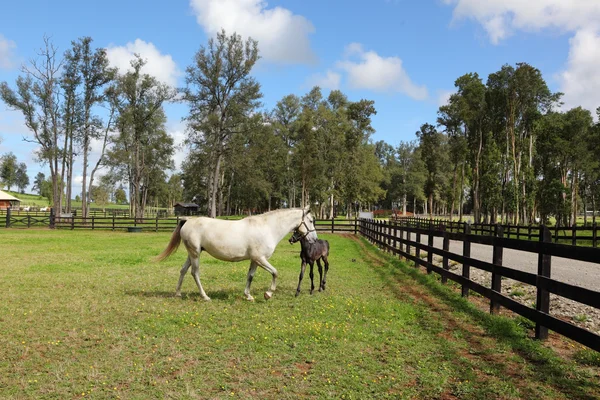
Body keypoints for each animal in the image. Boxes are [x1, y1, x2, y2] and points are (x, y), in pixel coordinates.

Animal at [156, 208, 318, 302]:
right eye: (310, 220)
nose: (314, 239)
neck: (267, 228)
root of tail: (188, 221)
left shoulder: (255, 260)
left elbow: (250, 276)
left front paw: (248, 295)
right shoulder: (260, 259)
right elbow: (275, 273)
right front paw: (268, 294)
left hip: (192, 253)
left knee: (183, 270)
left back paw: (178, 293)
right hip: (195, 254)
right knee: (194, 273)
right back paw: (205, 296)